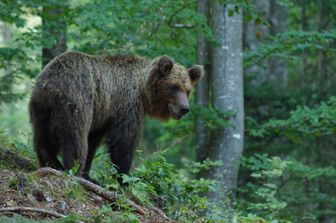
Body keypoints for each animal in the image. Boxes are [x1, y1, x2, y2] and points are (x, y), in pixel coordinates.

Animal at [28, 52, 203, 181]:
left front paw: (89, 174)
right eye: (174, 87)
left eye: (187, 90)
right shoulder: (127, 105)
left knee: (41, 137)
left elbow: (93, 141)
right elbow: (123, 141)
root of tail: (51, 83)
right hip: (78, 100)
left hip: (42, 107)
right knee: (75, 138)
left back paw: (51, 163)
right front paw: (124, 178)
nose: (184, 108)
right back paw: (72, 170)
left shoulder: (102, 115)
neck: (143, 90)